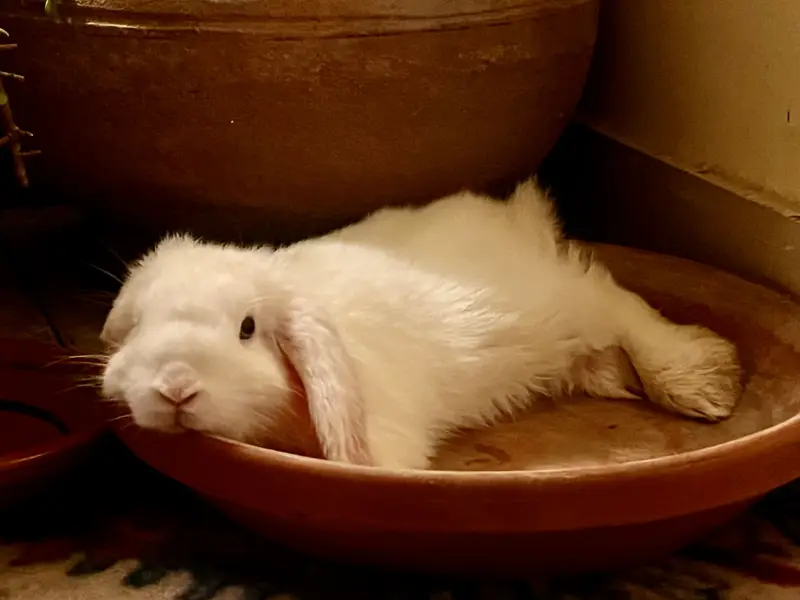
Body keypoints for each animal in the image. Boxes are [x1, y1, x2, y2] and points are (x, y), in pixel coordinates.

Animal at [100, 179, 742, 470]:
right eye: (140, 323)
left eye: (247, 328)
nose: (175, 385)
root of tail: (517, 220)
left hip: (569, 301)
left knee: (622, 307)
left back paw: (705, 385)